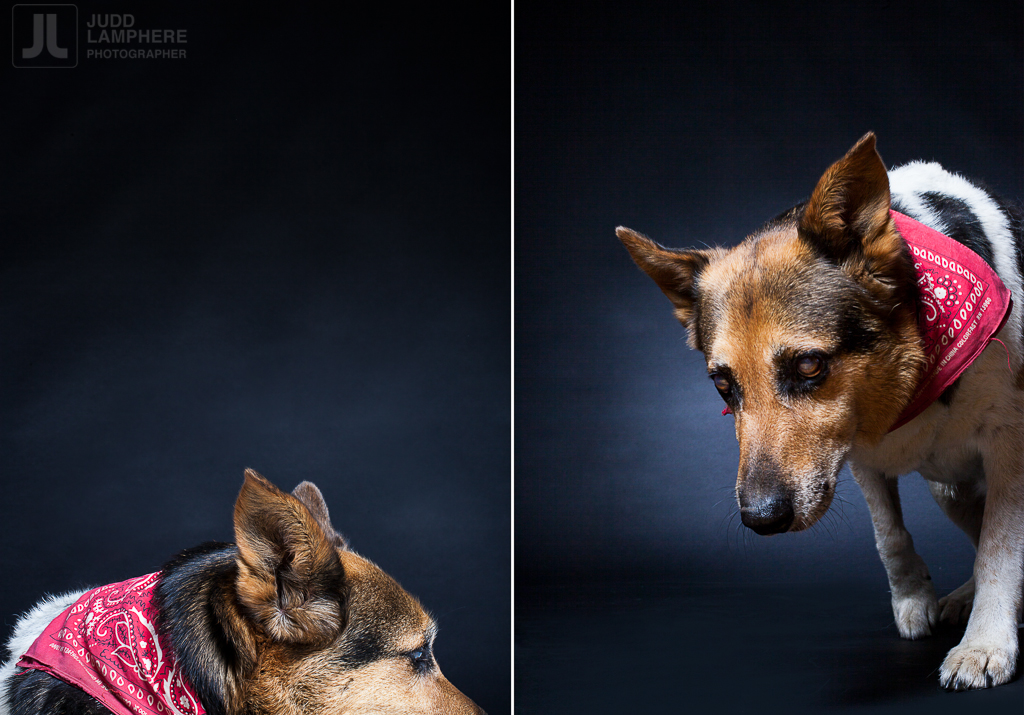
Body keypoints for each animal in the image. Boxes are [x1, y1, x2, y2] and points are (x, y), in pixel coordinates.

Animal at [614, 131, 1024, 688]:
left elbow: (1000, 550)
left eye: (809, 365)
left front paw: (984, 644)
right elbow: (889, 535)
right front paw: (914, 597)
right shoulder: (859, 455)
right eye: (723, 386)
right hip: (951, 492)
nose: (760, 520)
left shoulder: (1008, 449)